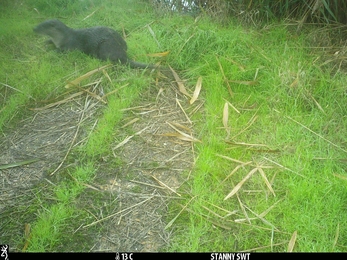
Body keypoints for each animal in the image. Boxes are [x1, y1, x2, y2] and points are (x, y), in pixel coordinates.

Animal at [33, 19, 161, 69]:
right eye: (40, 23)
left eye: (42, 26)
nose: (34, 28)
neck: (61, 38)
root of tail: (122, 55)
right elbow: (50, 42)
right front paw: (46, 42)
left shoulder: (69, 45)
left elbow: (61, 50)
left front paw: (50, 52)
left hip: (105, 46)